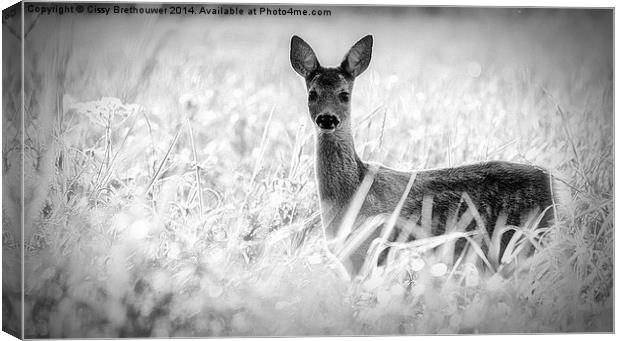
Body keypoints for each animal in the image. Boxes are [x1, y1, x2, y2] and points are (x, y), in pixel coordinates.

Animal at [288, 33, 564, 274]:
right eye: (312, 94)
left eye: (344, 94)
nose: (327, 119)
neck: (350, 191)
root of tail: (553, 187)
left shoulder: (368, 250)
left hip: (524, 241)